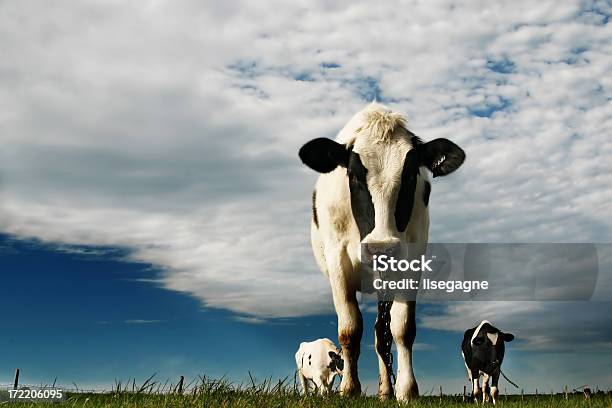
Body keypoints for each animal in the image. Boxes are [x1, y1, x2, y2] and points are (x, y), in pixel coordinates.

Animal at [298, 102, 466, 398]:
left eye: (410, 175)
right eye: (353, 174)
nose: (382, 248)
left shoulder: (412, 260)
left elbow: (401, 329)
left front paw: (406, 389)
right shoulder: (337, 261)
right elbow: (350, 329)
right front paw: (349, 388)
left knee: (381, 334)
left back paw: (386, 390)